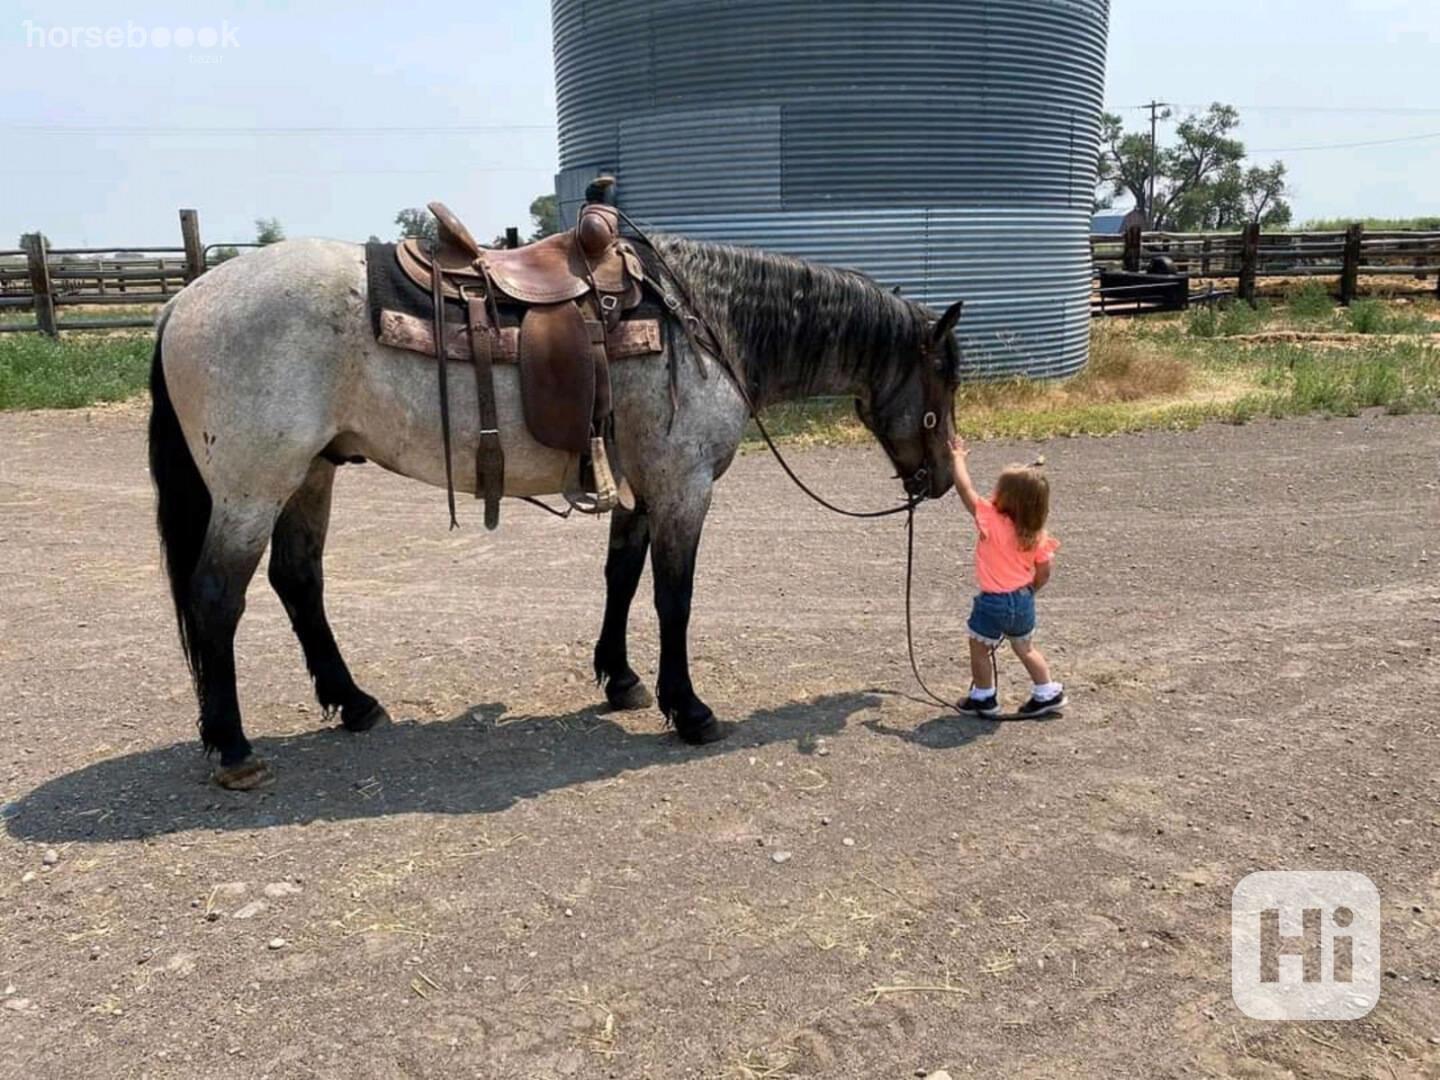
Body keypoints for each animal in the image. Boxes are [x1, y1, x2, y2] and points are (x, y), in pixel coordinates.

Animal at [146, 236, 961, 789]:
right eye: (943, 381)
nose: (940, 481)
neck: (703, 324)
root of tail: (182, 301)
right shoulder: (683, 486)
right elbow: (674, 598)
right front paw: (690, 710)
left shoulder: (642, 489)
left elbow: (621, 578)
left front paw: (621, 680)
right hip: (254, 488)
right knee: (217, 598)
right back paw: (233, 746)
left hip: (311, 474)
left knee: (298, 581)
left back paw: (353, 703)